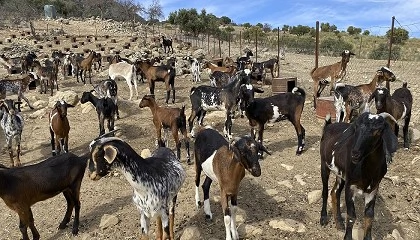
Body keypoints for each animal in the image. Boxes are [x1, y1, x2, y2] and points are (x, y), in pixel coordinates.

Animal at [320, 112, 398, 240]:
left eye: (378, 131)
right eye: (355, 127)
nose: (355, 154)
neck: (368, 172)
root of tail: (329, 126)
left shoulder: (373, 189)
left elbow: (369, 216)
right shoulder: (350, 186)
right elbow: (352, 216)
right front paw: (347, 237)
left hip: (341, 174)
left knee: (335, 192)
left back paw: (339, 223)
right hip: (324, 165)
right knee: (325, 191)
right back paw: (323, 218)